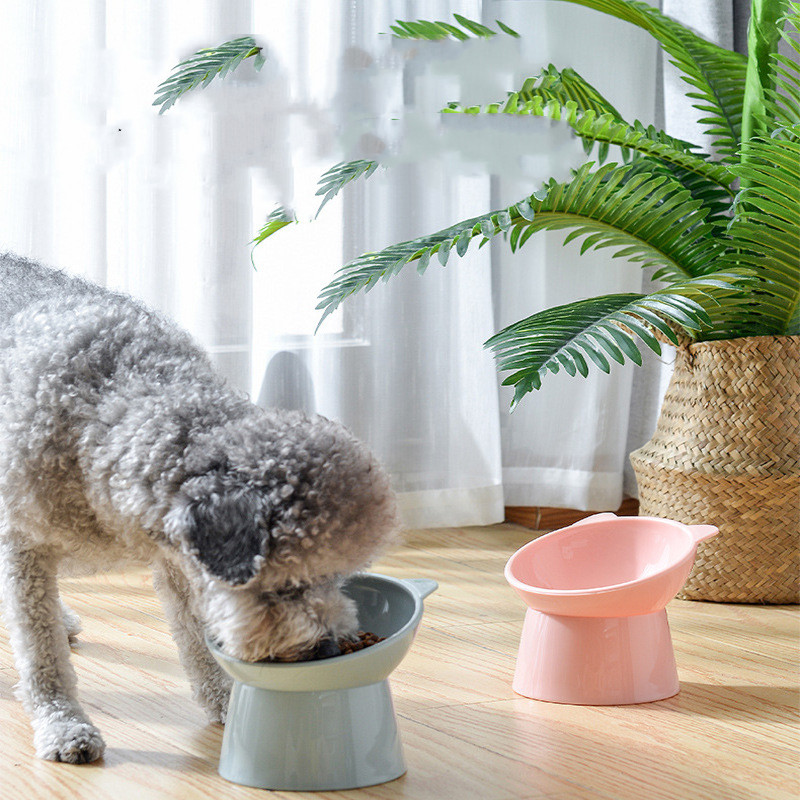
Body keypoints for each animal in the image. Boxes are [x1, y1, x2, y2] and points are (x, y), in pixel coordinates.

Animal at [0, 255, 398, 764]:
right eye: (287, 586)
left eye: (335, 578)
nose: (327, 648)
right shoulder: (24, 550)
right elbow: (41, 654)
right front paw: (63, 725)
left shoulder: (177, 559)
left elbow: (197, 637)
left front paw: (228, 699)